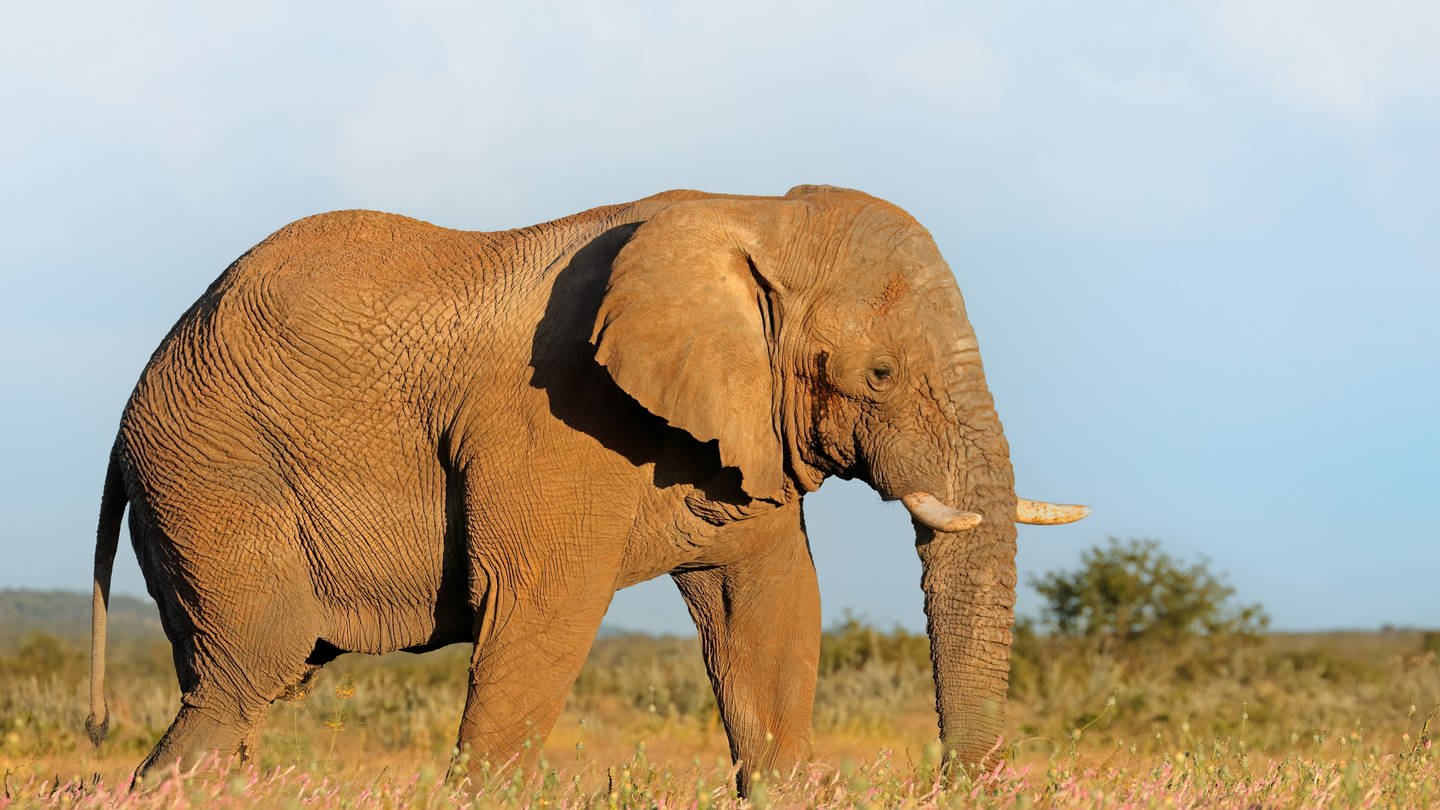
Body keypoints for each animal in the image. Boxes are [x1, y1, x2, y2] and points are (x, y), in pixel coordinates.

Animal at [87, 183, 1082, 789]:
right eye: (879, 374)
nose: (957, 779)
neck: (752, 213)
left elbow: (769, 616)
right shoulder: (551, 422)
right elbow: (540, 616)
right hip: (211, 469)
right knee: (251, 667)